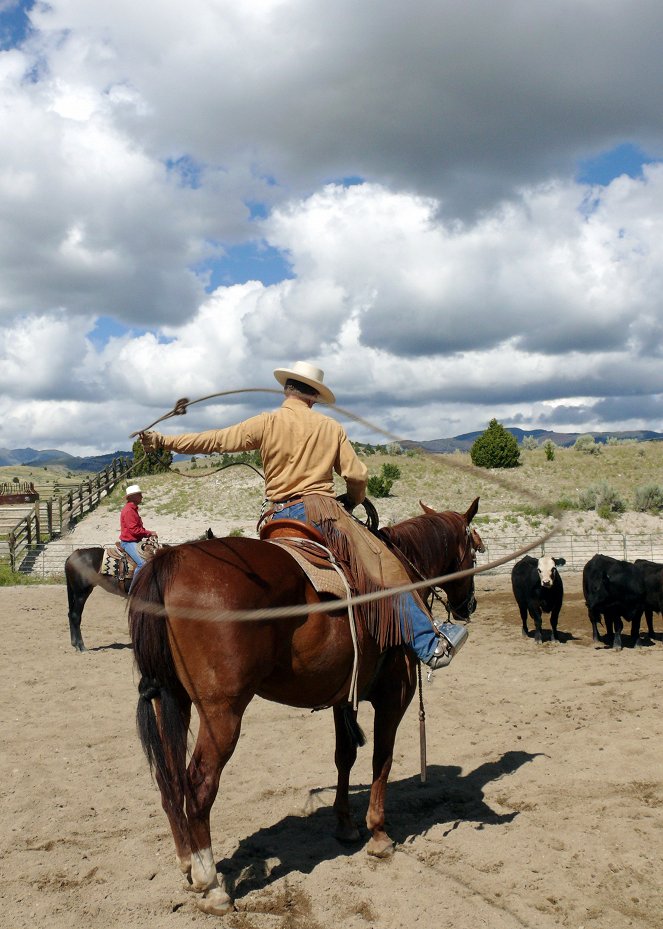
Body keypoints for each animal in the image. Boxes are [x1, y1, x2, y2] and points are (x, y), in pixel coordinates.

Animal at [131, 500, 482, 912]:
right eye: (473, 548)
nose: (469, 604)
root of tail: (169, 561)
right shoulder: (393, 698)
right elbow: (382, 759)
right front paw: (378, 835)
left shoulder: (343, 698)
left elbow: (344, 756)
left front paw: (345, 825)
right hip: (222, 713)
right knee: (199, 783)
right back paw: (211, 884)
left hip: (171, 699)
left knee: (168, 776)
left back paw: (187, 863)